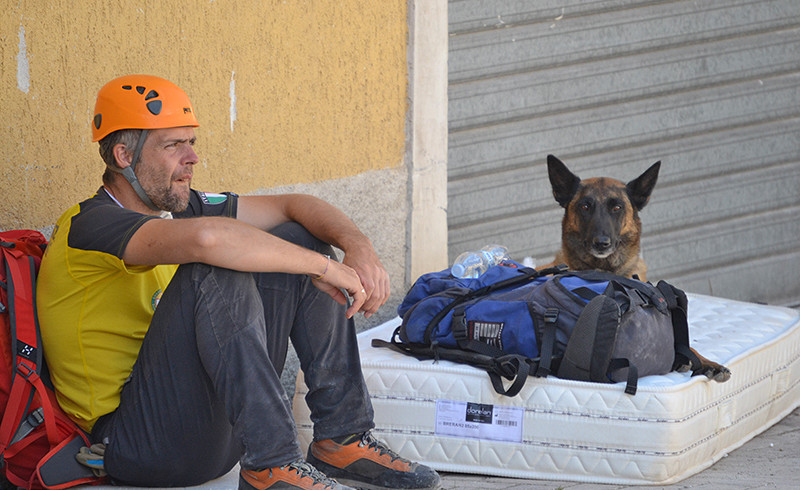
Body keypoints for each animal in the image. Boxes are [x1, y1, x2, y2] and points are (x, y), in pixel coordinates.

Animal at [544, 154, 732, 382]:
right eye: (585, 207)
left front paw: (706, 362)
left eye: (617, 208)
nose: (601, 243)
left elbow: (688, 346)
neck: (607, 270)